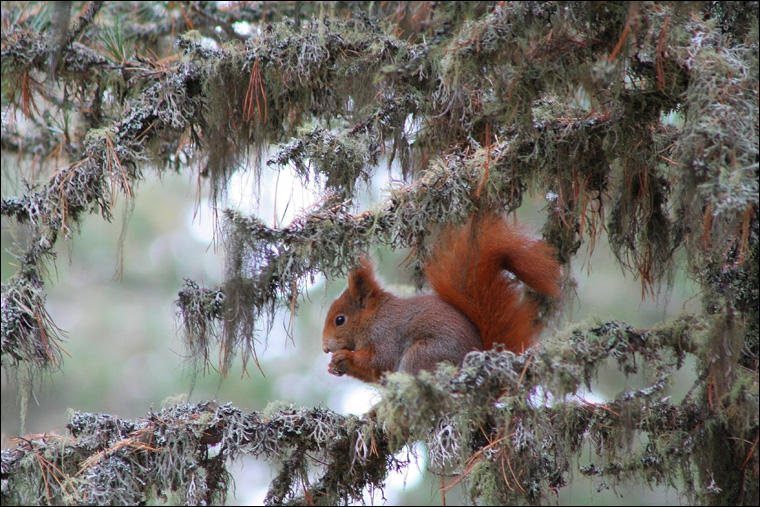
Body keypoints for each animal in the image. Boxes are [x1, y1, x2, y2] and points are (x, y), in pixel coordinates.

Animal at [320, 212, 560, 382]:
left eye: (340, 320)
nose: (325, 348)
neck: (374, 316)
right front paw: (334, 366)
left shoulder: (386, 334)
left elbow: (381, 361)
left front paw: (345, 357)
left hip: (423, 354)